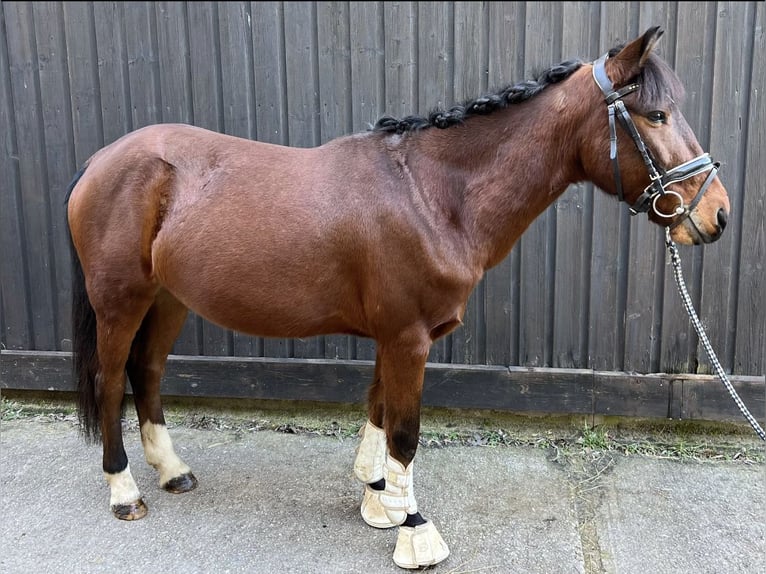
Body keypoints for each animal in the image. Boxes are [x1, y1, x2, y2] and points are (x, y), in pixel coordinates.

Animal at [67, 28, 732, 572]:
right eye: (656, 114)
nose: (717, 214)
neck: (434, 195)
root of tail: (101, 159)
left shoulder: (397, 337)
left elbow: (380, 412)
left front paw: (378, 499)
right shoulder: (407, 337)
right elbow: (406, 432)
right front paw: (415, 532)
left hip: (168, 299)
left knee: (148, 372)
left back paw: (172, 471)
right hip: (121, 301)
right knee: (111, 379)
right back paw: (125, 491)